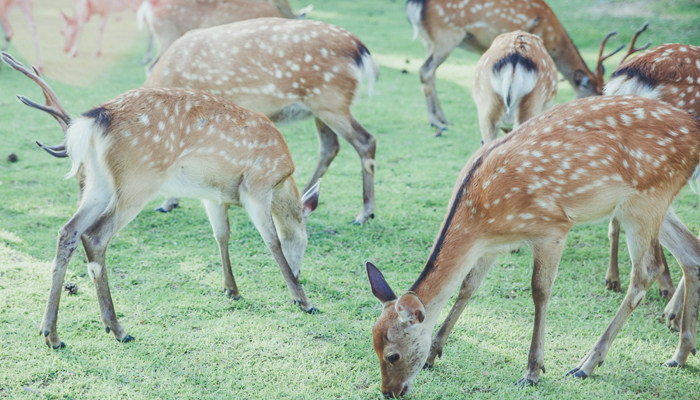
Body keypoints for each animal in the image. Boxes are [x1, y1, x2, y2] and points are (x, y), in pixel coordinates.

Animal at [0, 52, 320, 350]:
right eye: (304, 240)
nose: (300, 272)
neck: (282, 178)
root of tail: (95, 120)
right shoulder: (257, 186)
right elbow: (272, 241)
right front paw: (303, 300)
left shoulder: (214, 195)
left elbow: (221, 235)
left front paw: (232, 289)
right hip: (140, 179)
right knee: (95, 235)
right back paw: (118, 329)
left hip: (97, 182)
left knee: (68, 231)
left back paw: (51, 334)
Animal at [144, 17, 380, 225]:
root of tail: (361, 49)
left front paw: (170, 202)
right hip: (319, 108)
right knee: (330, 147)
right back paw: (304, 196)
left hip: (330, 100)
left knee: (366, 140)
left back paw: (364, 214)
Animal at [364, 94, 700, 396]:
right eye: (373, 346)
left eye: (392, 355)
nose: (389, 392)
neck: (481, 219)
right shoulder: (491, 246)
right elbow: (468, 287)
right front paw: (435, 352)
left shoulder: (552, 228)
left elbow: (539, 290)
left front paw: (533, 371)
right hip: (651, 201)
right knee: (691, 252)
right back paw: (680, 355)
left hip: (646, 196)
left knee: (646, 271)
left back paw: (587, 364)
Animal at [408, 0, 620, 135]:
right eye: (596, 93)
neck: (554, 40)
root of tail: (414, 5)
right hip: (447, 34)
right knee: (426, 69)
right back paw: (436, 122)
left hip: (429, 41)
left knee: (430, 72)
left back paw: (443, 120)